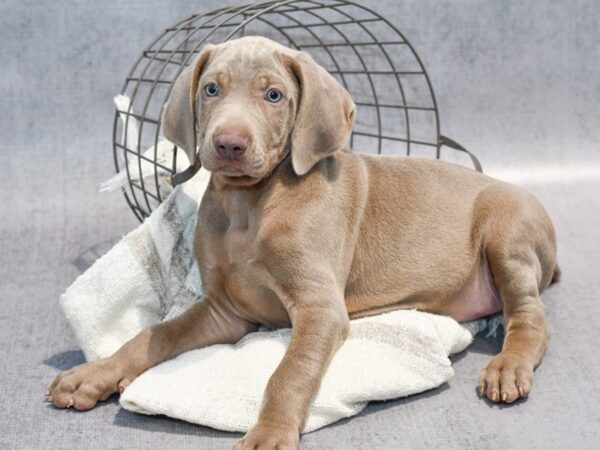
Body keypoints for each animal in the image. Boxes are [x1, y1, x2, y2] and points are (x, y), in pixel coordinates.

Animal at [48, 37, 556, 448]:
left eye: (274, 95)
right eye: (211, 89)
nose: (229, 143)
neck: (248, 206)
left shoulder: (320, 308)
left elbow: (289, 373)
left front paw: (269, 433)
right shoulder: (224, 311)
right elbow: (153, 335)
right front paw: (94, 375)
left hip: (505, 231)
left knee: (529, 317)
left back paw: (509, 366)